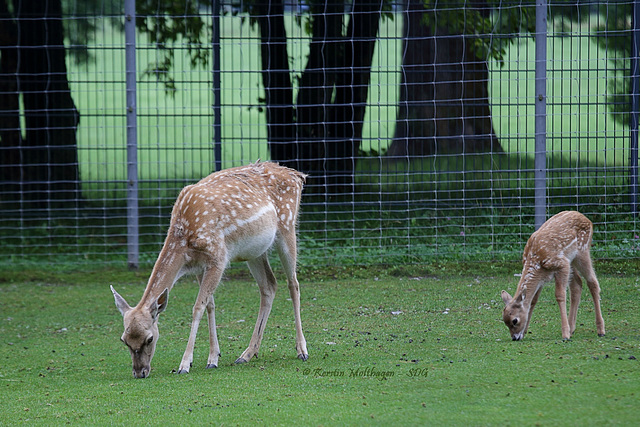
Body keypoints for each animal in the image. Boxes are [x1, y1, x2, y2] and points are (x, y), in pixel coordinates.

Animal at [111, 162, 308, 380]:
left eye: (149, 338)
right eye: (124, 340)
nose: (140, 372)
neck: (184, 237)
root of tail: (297, 175)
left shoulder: (218, 257)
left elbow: (197, 307)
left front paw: (185, 364)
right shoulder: (199, 265)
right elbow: (209, 305)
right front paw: (213, 358)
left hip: (287, 226)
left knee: (293, 283)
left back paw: (302, 350)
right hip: (255, 251)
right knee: (269, 285)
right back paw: (247, 354)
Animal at [500, 212, 604, 342]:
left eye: (515, 320)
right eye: (504, 321)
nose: (515, 338)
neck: (535, 262)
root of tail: (587, 219)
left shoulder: (561, 265)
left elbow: (560, 295)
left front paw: (565, 335)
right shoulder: (542, 277)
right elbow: (533, 300)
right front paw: (524, 332)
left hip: (582, 251)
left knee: (592, 282)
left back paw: (600, 330)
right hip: (571, 260)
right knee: (577, 284)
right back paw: (572, 328)